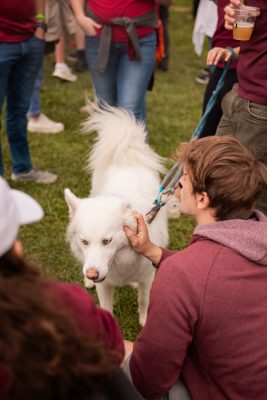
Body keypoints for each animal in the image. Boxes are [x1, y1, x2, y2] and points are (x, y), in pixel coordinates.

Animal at [65, 103, 169, 324]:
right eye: (84, 241)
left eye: (107, 241)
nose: (92, 274)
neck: (120, 260)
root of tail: (126, 152)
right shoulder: (104, 285)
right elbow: (106, 308)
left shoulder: (147, 278)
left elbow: (144, 300)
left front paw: (144, 322)